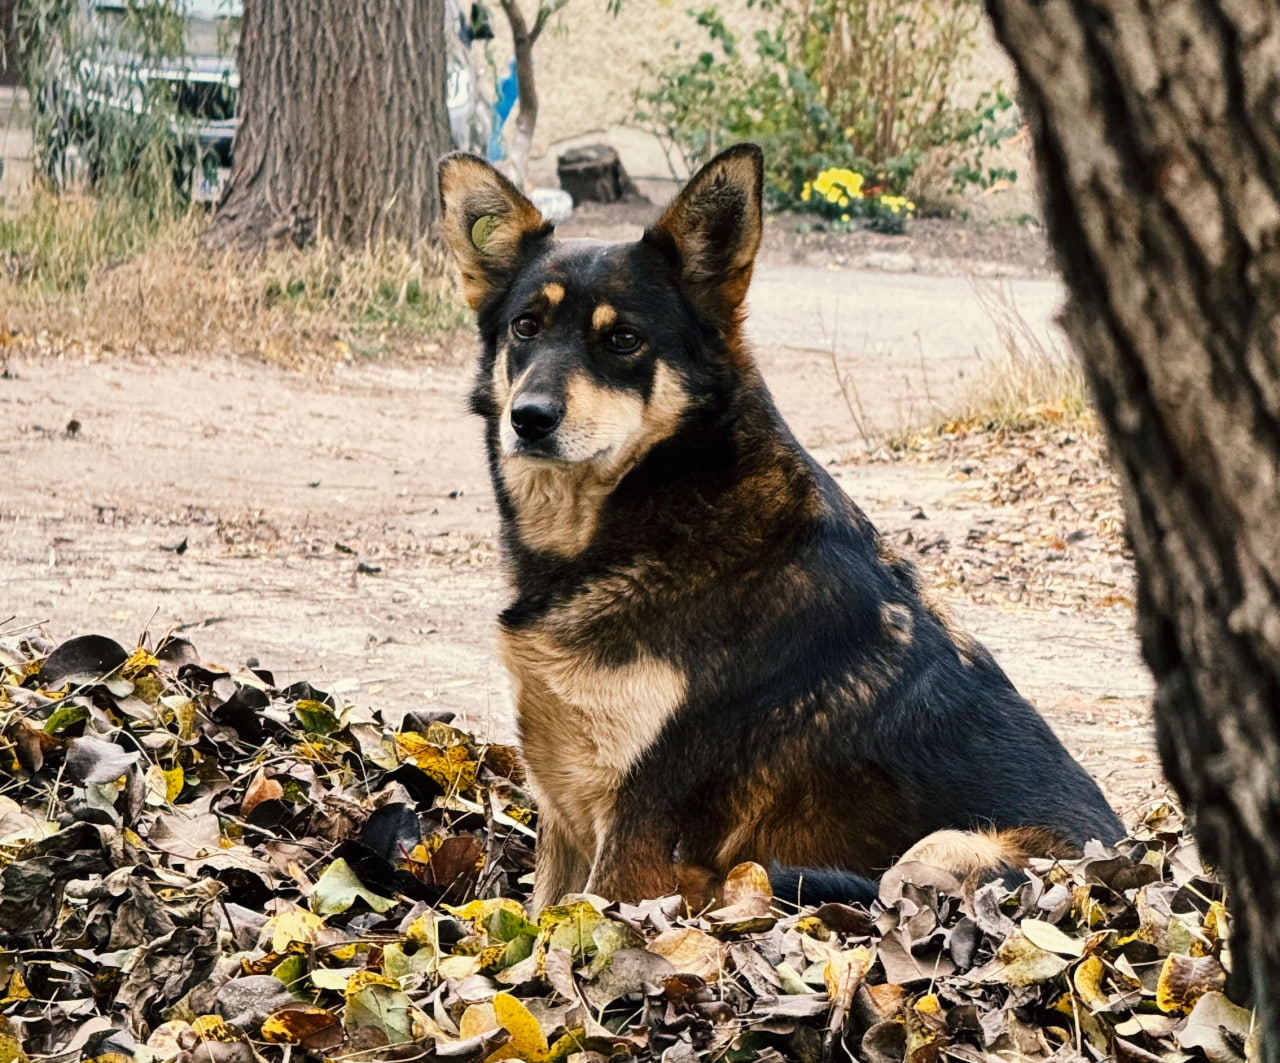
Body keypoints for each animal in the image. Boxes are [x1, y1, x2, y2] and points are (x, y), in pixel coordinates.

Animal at [437, 143, 1121, 916]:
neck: (663, 497)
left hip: (939, 851)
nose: (527, 418)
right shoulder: (565, 815)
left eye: (623, 340)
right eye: (526, 328)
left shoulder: (639, 841)